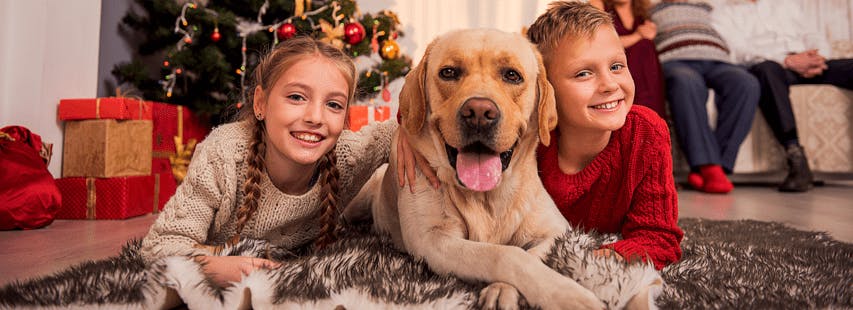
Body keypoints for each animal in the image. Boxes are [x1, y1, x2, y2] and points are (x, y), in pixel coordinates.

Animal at [346, 29, 604, 310]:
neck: (486, 197)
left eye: (512, 75)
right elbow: (505, 254)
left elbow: (532, 252)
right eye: (449, 72)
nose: (479, 112)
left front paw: (504, 289)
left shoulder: (557, 230)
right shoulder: (433, 239)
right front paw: (567, 293)